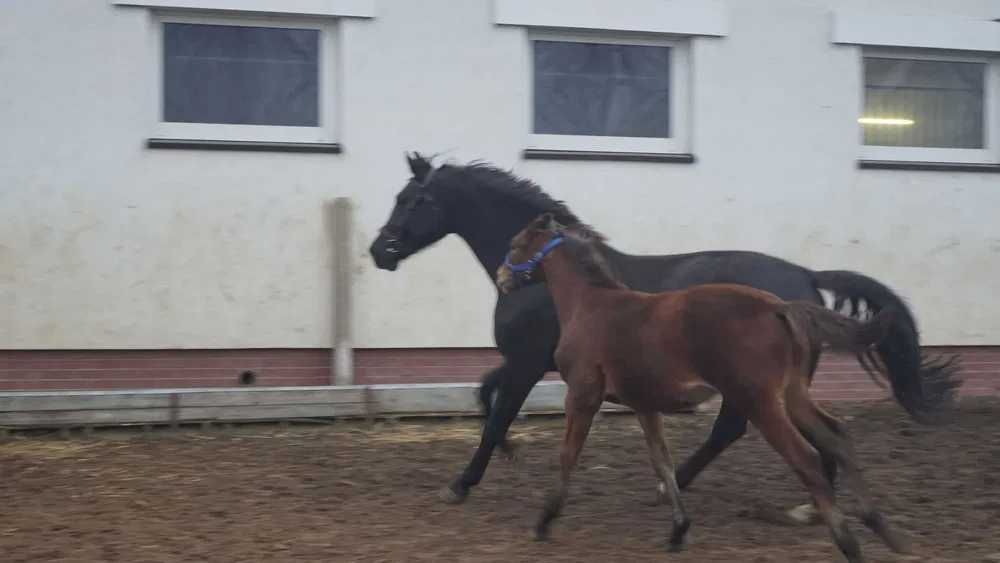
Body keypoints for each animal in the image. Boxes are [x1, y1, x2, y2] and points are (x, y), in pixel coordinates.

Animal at [370, 153, 960, 512]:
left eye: (412, 200)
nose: (379, 251)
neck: (546, 275)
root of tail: (806, 278)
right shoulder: (526, 363)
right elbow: (483, 394)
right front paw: (509, 453)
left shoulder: (527, 364)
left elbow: (494, 417)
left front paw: (461, 484)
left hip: (749, 380)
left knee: (738, 429)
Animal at [496, 214, 912, 560]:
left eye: (515, 244)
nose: (502, 277)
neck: (591, 304)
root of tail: (780, 307)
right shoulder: (643, 403)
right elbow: (661, 462)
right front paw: (678, 530)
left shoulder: (583, 394)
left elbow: (568, 454)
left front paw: (545, 520)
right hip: (792, 396)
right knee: (837, 436)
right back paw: (882, 528)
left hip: (759, 401)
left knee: (806, 457)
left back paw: (848, 542)